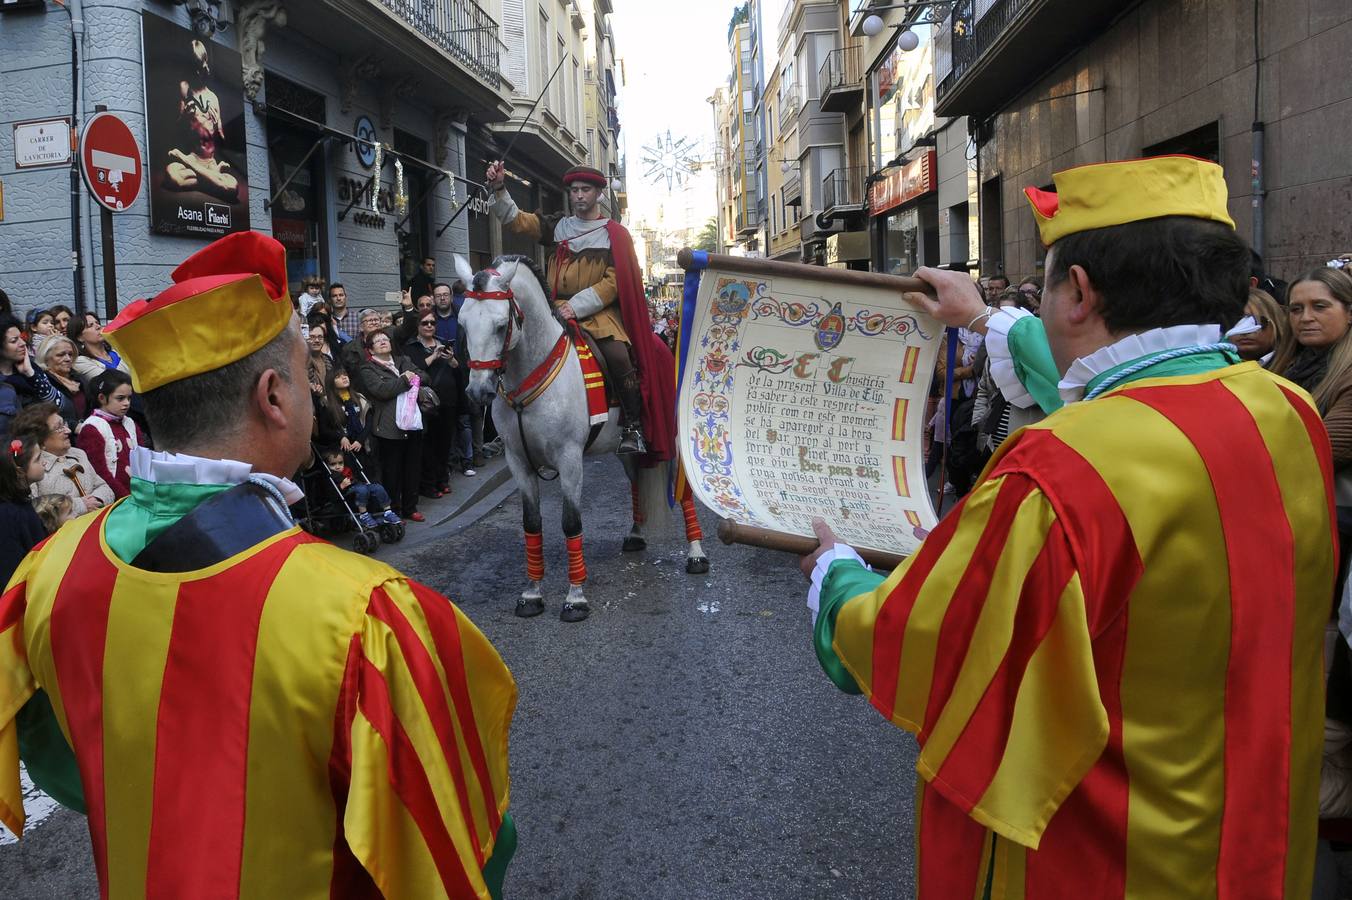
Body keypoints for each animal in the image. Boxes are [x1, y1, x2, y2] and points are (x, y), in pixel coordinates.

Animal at [456, 252, 713, 616]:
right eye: (463, 324)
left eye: (501, 325)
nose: (478, 392)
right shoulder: (518, 461)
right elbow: (532, 522)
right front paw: (532, 593)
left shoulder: (569, 459)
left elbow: (570, 522)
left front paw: (575, 597)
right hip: (628, 450)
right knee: (636, 480)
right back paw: (637, 535)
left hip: (674, 442)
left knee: (685, 492)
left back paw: (696, 553)